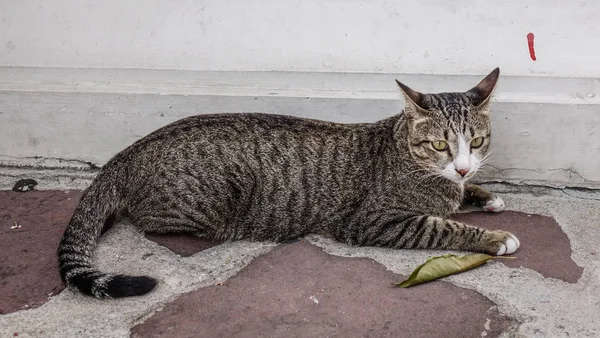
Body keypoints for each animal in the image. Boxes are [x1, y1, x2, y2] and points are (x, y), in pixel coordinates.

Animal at [57, 66, 520, 298]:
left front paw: (483, 194)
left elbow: (460, 197)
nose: (462, 166)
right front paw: (494, 237)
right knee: (147, 219)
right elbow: (442, 225)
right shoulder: (376, 221)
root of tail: (130, 151)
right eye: (440, 144)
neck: (403, 148)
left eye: (477, 141)